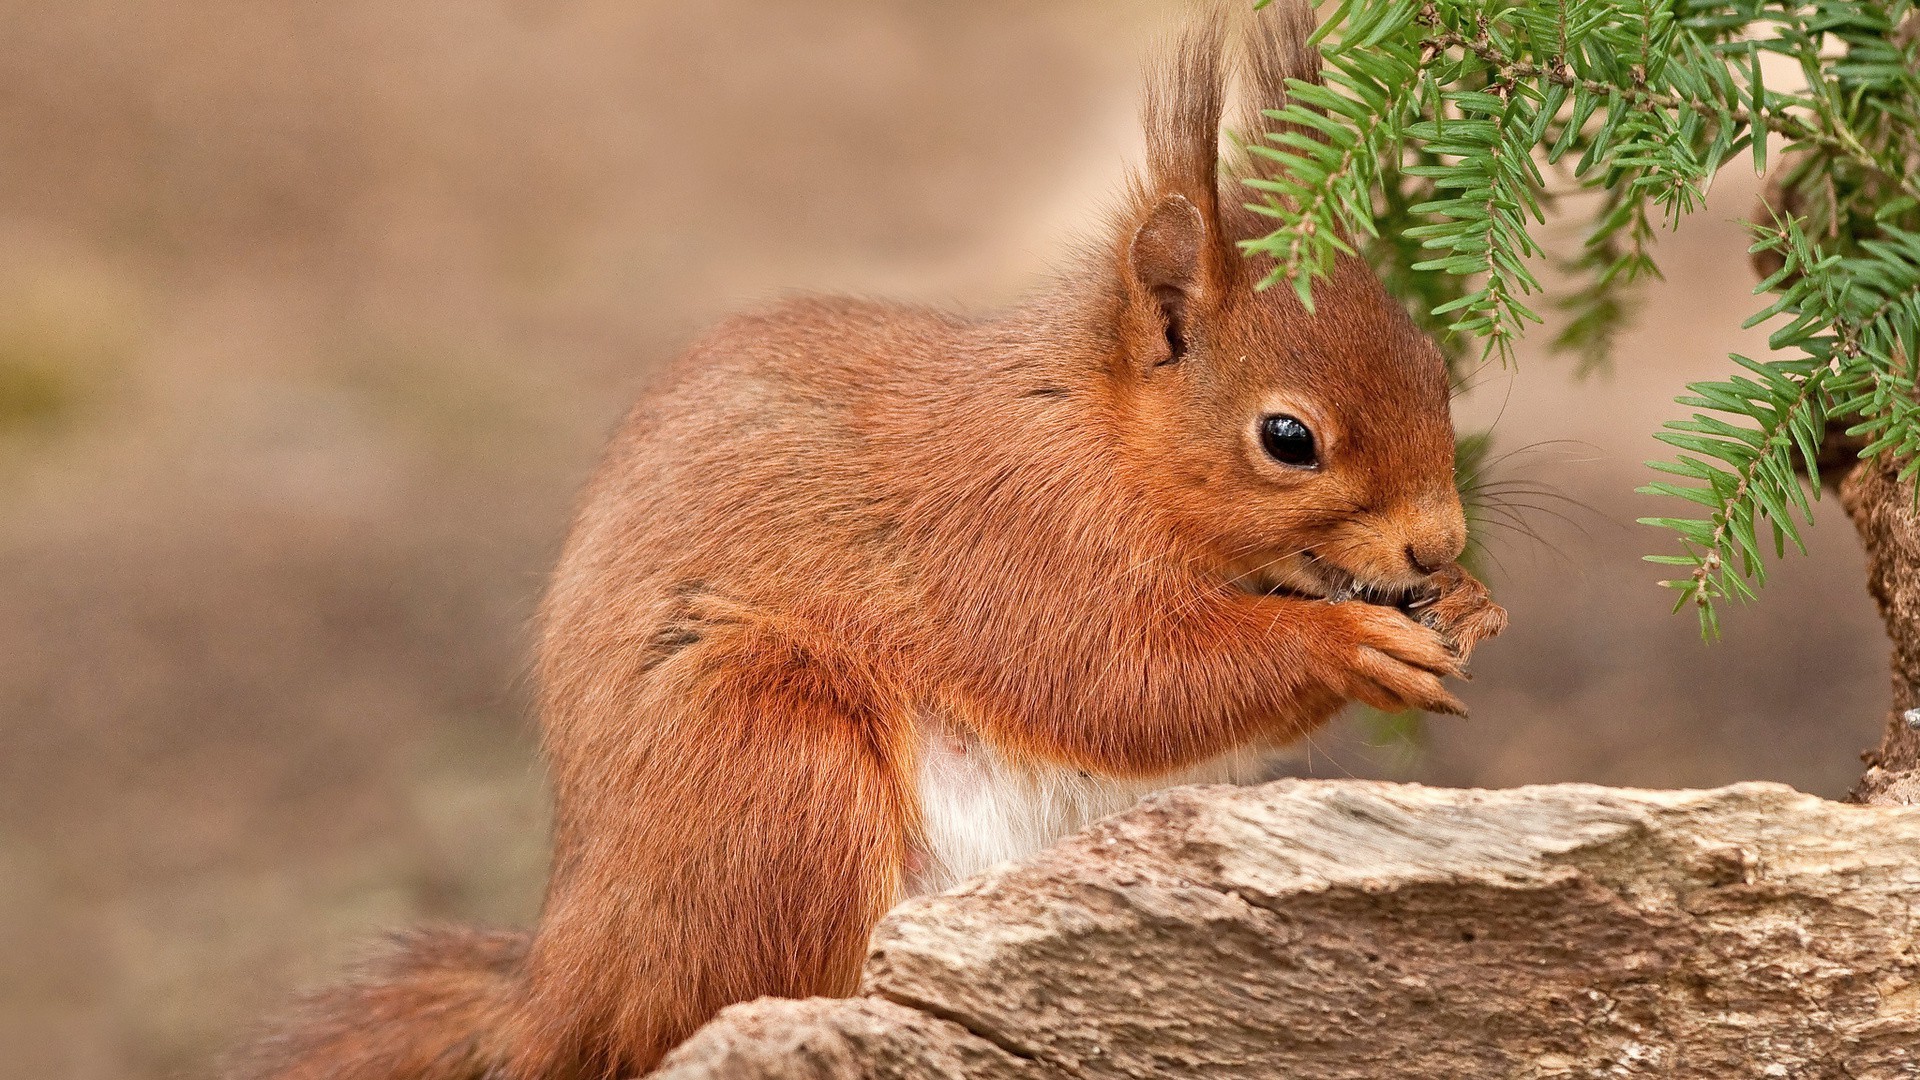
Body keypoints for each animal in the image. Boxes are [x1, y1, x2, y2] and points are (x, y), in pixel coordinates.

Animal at [232, 4, 1505, 1068]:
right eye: (1288, 438)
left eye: (1435, 367)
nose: (1437, 547)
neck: (1098, 437)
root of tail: (567, 984)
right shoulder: (1009, 538)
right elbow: (1120, 683)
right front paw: (1349, 646)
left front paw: (1473, 605)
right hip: (772, 764)